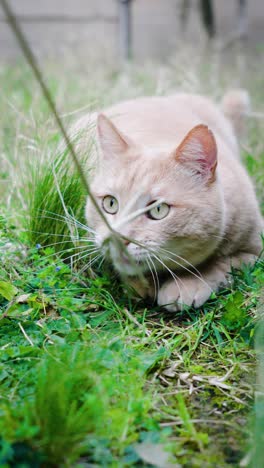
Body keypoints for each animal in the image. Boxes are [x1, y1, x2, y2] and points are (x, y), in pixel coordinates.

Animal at [71, 91, 262, 310]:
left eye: (158, 210)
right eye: (110, 203)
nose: (117, 239)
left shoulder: (254, 250)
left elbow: (220, 263)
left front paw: (187, 283)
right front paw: (141, 283)